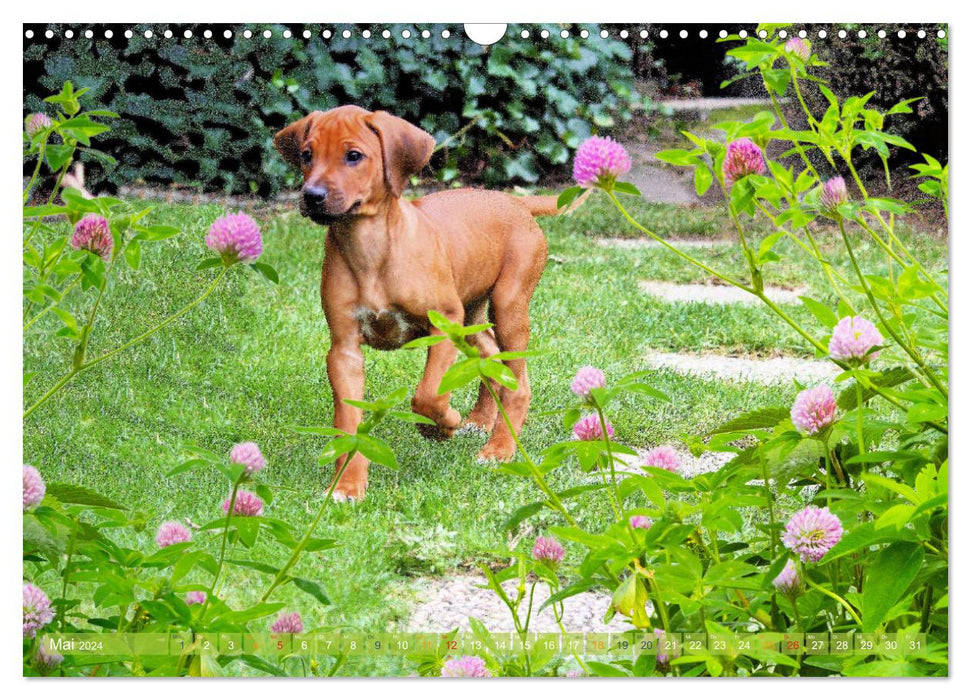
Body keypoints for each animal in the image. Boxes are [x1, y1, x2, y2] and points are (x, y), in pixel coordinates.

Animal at [276, 104, 568, 500]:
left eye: (354, 156)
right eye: (307, 155)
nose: (312, 196)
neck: (370, 247)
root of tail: (514, 200)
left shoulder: (444, 323)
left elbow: (427, 395)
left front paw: (441, 425)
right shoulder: (344, 350)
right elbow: (348, 423)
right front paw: (348, 486)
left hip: (507, 305)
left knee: (518, 383)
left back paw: (499, 449)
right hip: (472, 315)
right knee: (492, 357)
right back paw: (480, 421)